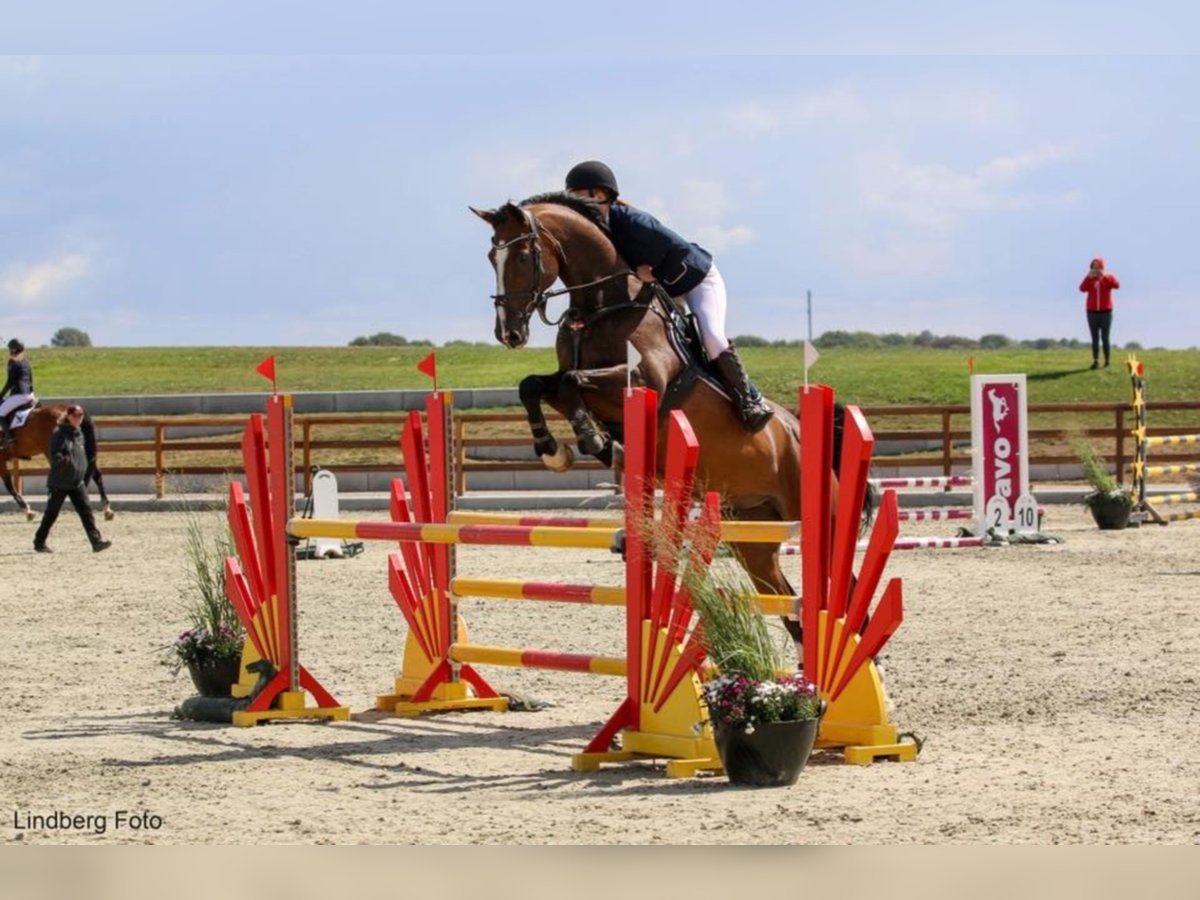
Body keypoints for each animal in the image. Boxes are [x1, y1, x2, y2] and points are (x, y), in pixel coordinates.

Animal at [468, 194, 825, 638]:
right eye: (490, 256)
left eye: (520, 255)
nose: (509, 334)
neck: (600, 306)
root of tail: (795, 428)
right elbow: (534, 385)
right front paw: (557, 449)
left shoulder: (642, 380)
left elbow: (570, 381)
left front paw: (592, 439)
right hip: (753, 529)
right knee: (788, 603)